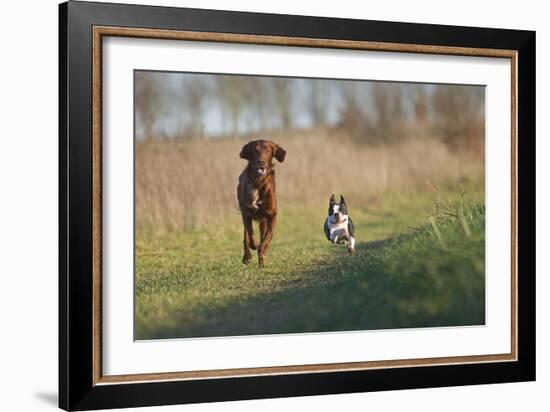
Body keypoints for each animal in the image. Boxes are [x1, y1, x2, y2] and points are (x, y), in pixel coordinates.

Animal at [238, 139, 288, 268]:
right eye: (255, 150)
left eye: (268, 151)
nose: (261, 162)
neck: (258, 182)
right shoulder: (246, 213)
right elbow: (250, 234)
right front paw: (254, 245)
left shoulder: (271, 215)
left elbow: (267, 237)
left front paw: (263, 251)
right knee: (245, 235)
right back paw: (247, 256)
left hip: (263, 220)